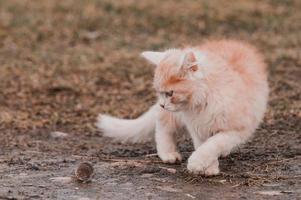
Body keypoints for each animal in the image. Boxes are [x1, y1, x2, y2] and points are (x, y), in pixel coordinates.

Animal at [96, 39, 268, 175]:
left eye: (170, 93)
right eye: (159, 92)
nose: (162, 104)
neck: (204, 101)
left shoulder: (238, 129)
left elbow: (214, 143)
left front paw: (199, 163)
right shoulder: (197, 128)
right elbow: (203, 145)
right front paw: (208, 168)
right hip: (172, 116)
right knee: (162, 128)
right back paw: (168, 153)